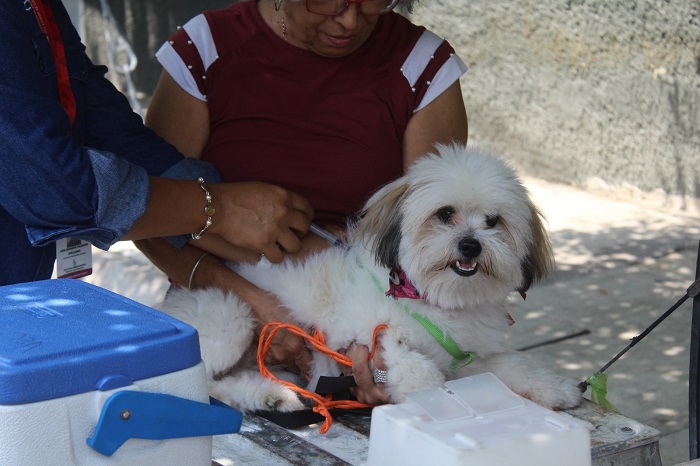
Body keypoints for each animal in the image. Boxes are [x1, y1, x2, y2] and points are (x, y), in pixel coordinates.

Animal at [159, 144, 580, 414]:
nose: (471, 245)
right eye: (445, 214)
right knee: (203, 383)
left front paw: (554, 387)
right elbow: (417, 369)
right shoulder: (368, 338)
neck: (432, 298)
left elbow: (512, 364)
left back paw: (271, 395)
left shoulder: (468, 356)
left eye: (493, 222)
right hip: (231, 319)